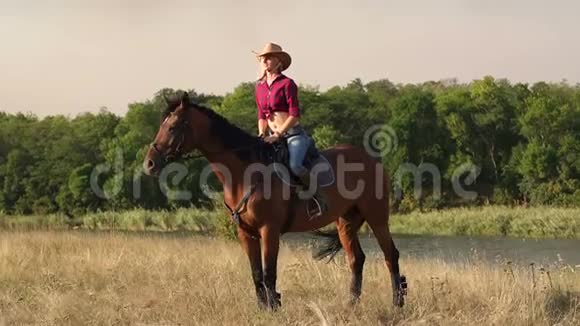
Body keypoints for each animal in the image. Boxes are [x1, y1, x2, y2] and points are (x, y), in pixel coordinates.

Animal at [144, 91, 408, 310]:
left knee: (390, 256)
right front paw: (263, 308)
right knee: (356, 259)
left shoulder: (268, 230)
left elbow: (269, 272)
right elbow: (256, 273)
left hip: (377, 218)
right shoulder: (246, 233)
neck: (245, 173)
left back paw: (397, 303)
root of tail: (372, 160)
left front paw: (274, 307)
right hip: (346, 222)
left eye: (173, 126)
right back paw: (351, 304)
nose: (149, 163)